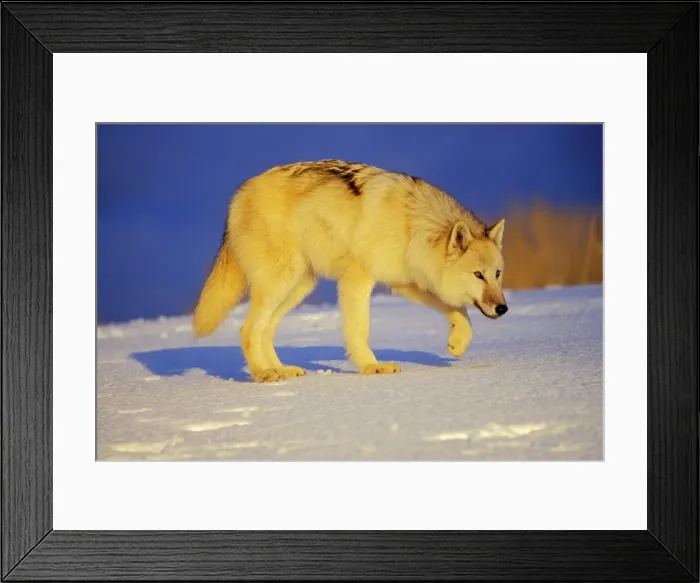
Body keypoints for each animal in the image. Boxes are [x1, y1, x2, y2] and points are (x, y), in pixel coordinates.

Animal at [192, 159, 508, 383]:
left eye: (497, 274)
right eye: (478, 275)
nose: (503, 308)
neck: (412, 223)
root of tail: (238, 194)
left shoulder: (406, 281)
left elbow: (459, 311)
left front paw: (457, 343)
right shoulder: (358, 279)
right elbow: (359, 330)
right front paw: (371, 366)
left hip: (298, 287)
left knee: (265, 331)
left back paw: (283, 370)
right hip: (281, 282)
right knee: (248, 330)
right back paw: (263, 374)